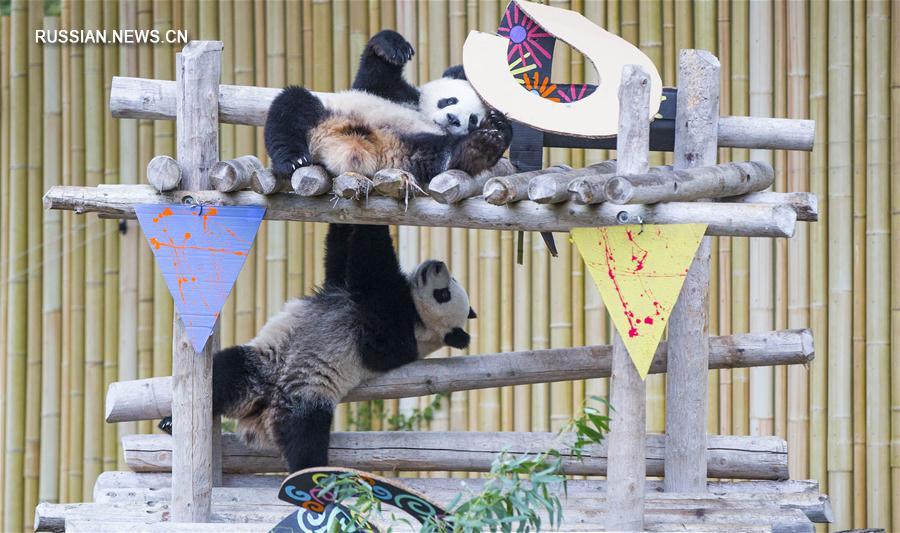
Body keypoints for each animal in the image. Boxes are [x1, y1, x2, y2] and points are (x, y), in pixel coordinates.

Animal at [160, 222, 478, 472]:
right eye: (451, 282)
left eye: (443, 294)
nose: (438, 265)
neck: (420, 320)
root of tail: (263, 408)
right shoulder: (341, 288)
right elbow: (338, 258)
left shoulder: (395, 339)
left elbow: (373, 273)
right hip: (259, 366)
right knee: (226, 374)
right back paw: (171, 423)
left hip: (307, 397)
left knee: (305, 439)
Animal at [264, 31, 510, 185]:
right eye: (450, 101)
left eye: (472, 119)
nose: (452, 118)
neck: (422, 113)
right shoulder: (394, 94)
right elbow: (372, 77)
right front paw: (393, 48)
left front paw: (498, 123)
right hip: (325, 114)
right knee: (291, 107)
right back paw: (293, 159)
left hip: (408, 151)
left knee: (438, 153)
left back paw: (477, 149)